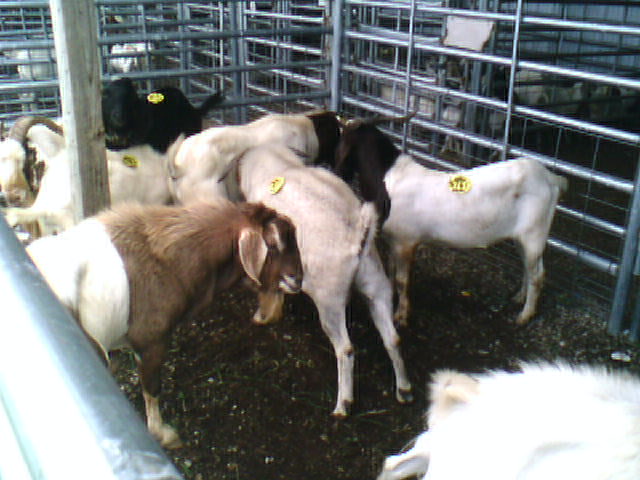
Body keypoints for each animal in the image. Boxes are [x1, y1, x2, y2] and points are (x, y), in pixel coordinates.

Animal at [26, 201, 302, 448]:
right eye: (273, 245)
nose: (298, 279)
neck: (165, 259)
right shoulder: (151, 341)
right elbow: (152, 387)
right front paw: (164, 435)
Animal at [172, 142, 412, 416]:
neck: (278, 166)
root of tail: (358, 233)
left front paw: (262, 315)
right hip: (375, 281)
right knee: (392, 338)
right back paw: (404, 389)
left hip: (330, 297)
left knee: (346, 348)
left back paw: (343, 404)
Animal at [330, 122, 564, 328]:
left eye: (341, 138)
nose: (336, 172)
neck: (386, 181)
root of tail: (549, 178)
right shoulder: (393, 240)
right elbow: (391, 271)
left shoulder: (406, 242)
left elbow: (403, 280)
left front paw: (401, 316)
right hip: (522, 237)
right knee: (528, 266)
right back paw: (519, 297)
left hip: (534, 232)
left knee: (537, 274)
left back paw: (524, 316)